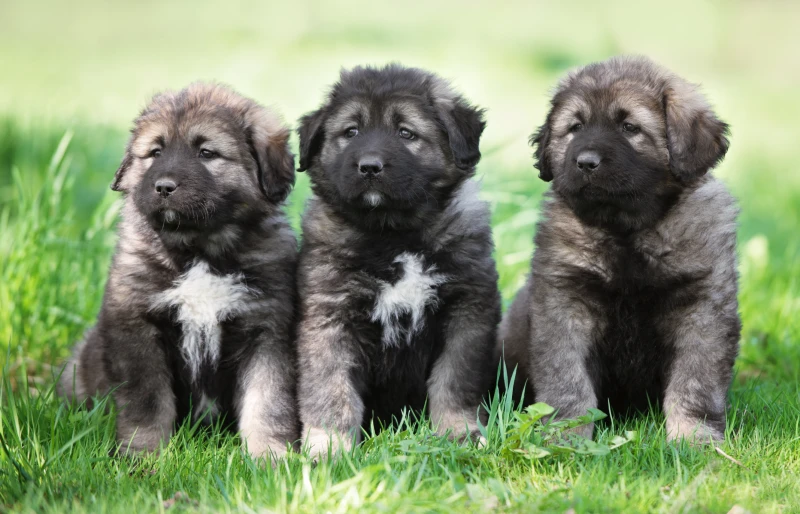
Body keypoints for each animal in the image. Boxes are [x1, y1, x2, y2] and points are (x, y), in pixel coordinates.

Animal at [56, 82, 298, 458]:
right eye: (155, 152)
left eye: (206, 153)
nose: (164, 187)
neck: (199, 251)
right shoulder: (138, 329)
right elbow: (148, 402)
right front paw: (142, 455)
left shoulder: (267, 331)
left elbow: (268, 401)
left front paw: (270, 456)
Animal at [296, 65, 504, 456]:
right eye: (351, 132)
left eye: (406, 133)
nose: (369, 167)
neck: (394, 234)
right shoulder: (329, 316)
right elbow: (331, 390)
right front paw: (328, 447)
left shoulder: (467, 310)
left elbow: (455, 381)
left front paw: (459, 433)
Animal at [496, 55, 740, 440]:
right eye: (576, 127)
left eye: (629, 127)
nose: (585, 162)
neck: (627, 231)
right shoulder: (564, 304)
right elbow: (568, 381)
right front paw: (568, 434)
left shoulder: (702, 309)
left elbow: (694, 382)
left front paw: (692, 436)